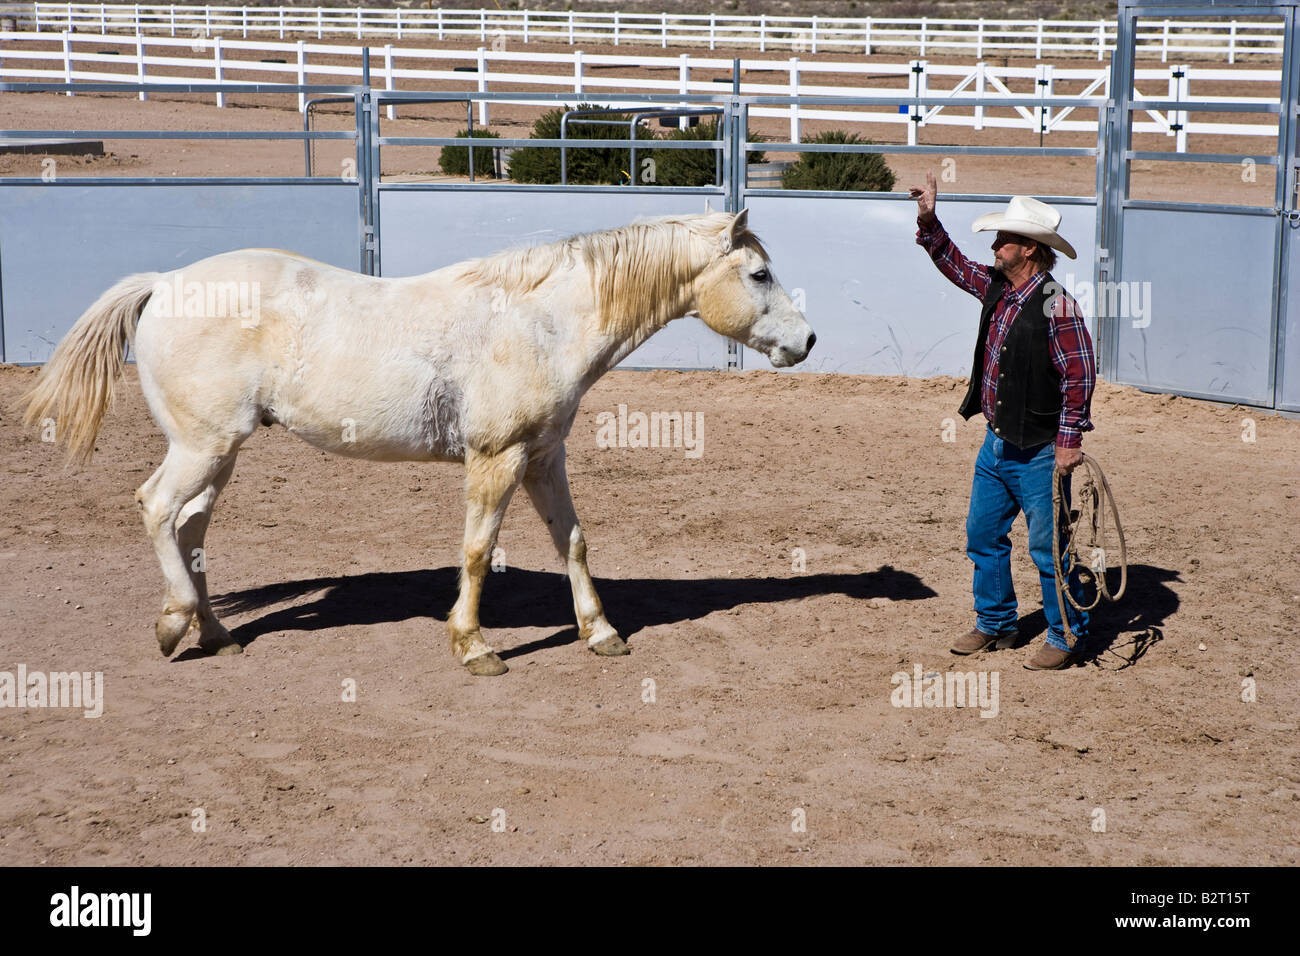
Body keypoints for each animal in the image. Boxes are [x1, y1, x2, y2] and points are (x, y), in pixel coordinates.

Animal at [20, 210, 811, 671]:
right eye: (759, 272)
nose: (805, 341)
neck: (540, 322)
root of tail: (165, 282)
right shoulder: (496, 459)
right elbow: (478, 551)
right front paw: (474, 646)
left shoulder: (543, 457)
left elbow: (574, 542)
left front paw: (600, 633)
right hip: (202, 447)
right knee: (157, 510)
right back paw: (174, 624)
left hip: (220, 453)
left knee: (190, 529)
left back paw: (216, 635)